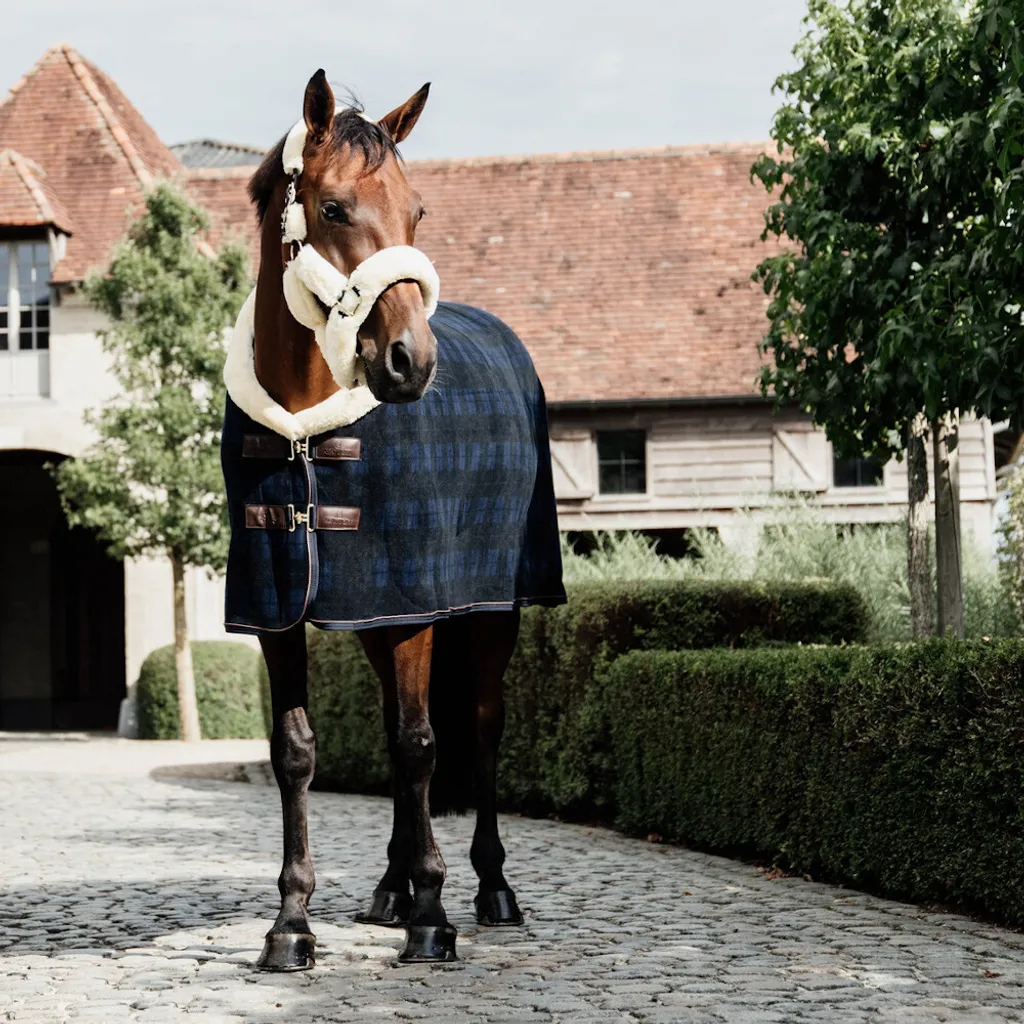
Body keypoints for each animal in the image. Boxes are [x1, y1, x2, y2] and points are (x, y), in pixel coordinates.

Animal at [220, 70, 566, 969]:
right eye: (334, 207)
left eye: (417, 211)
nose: (412, 362)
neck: (306, 430)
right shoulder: (281, 610)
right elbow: (298, 752)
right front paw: (292, 925)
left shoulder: (414, 609)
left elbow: (421, 746)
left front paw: (434, 918)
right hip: (376, 620)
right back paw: (390, 887)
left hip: (492, 614)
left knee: (477, 729)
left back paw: (489, 890)